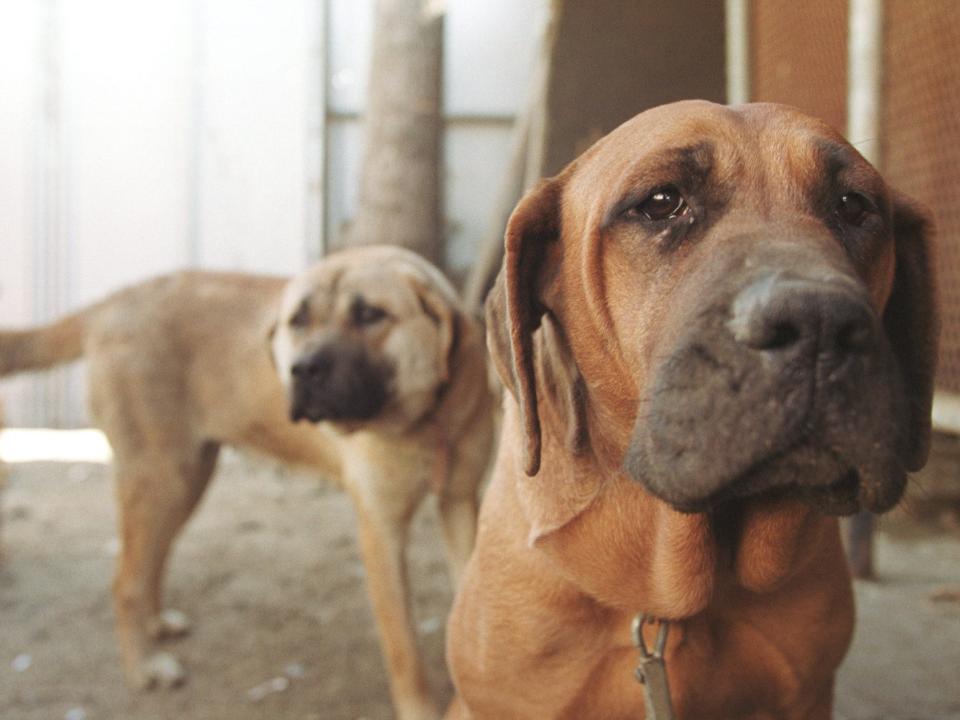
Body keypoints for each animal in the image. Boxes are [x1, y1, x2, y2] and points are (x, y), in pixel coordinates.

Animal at [1, 243, 496, 720]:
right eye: (297, 321)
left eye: (370, 315)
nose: (303, 370)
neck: (431, 420)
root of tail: (116, 300)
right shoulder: (381, 529)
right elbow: (404, 646)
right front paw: (421, 709)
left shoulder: (460, 503)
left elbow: (467, 592)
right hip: (160, 478)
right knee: (125, 581)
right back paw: (144, 666)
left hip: (187, 478)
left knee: (151, 558)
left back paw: (156, 623)